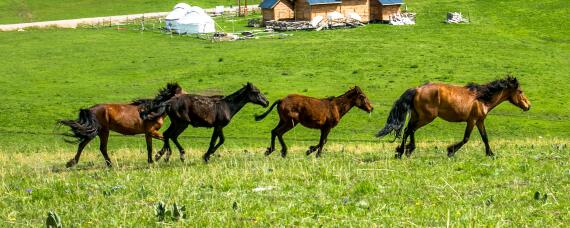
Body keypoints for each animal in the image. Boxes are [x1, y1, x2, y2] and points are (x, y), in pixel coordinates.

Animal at [378, 76, 528, 159]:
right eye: (520, 91)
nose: (528, 105)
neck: (481, 98)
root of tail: (417, 89)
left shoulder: (480, 121)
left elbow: (485, 138)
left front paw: (490, 154)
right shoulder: (472, 120)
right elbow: (466, 138)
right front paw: (450, 151)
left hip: (417, 116)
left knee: (408, 130)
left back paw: (404, 151)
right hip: (427, 117)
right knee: (409, 130)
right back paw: (403, 152)